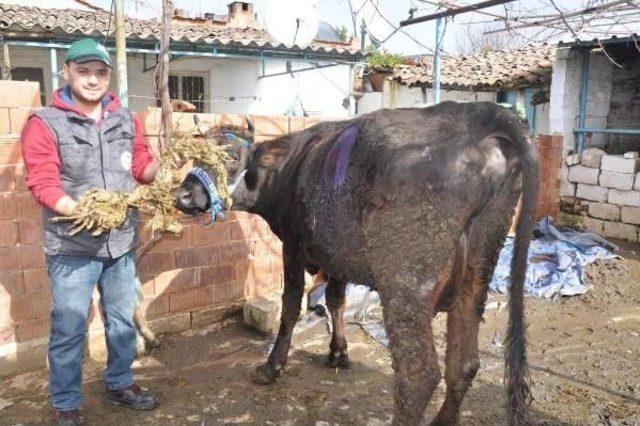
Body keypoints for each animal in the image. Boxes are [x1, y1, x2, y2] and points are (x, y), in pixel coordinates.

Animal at [174, 103, 536, 426]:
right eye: (196, 158)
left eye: (232, 158)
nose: (183, 196)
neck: (289, 169)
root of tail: (480, 114)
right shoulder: (336, 254)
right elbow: (336, 300)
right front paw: (338, 352)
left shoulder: (292, 245)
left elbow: (290, 306)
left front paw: (272, 366)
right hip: (477, 271)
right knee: (464, 364)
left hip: (406, 281)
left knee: (419, 373)